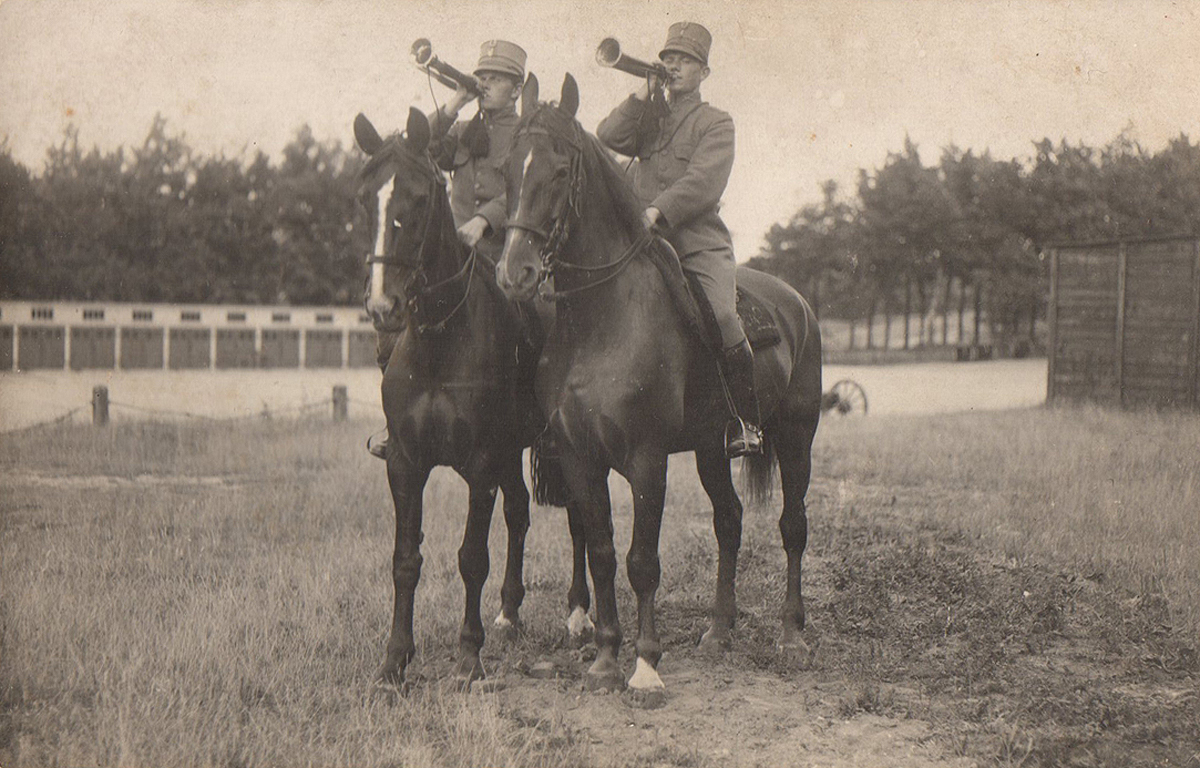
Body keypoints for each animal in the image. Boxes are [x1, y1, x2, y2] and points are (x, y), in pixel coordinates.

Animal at [352, 106, 592, 681]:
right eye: (364, 197)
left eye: (420, 198)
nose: (383, 306)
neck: (440, 338)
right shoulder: (406, 464)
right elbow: (405, 559)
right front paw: (395, 660)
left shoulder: (480, 464)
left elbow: (470, 557)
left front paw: (466, 655)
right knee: (520, 513)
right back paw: (508, 612)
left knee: (576, 516)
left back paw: (577, 613)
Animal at [492, 75, 820, 691]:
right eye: (506, 170)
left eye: (560, 171)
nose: (514, 273)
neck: (600, 320)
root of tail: (797, 302)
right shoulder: (580, 457)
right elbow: (600, 551)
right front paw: (603, 658)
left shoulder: (647, 459)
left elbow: (642, 560)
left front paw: (645, 666)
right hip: (714, 449)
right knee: (729, 521)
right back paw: (719, 629)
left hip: (796, 439)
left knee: (792, 526)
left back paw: (791, 635)